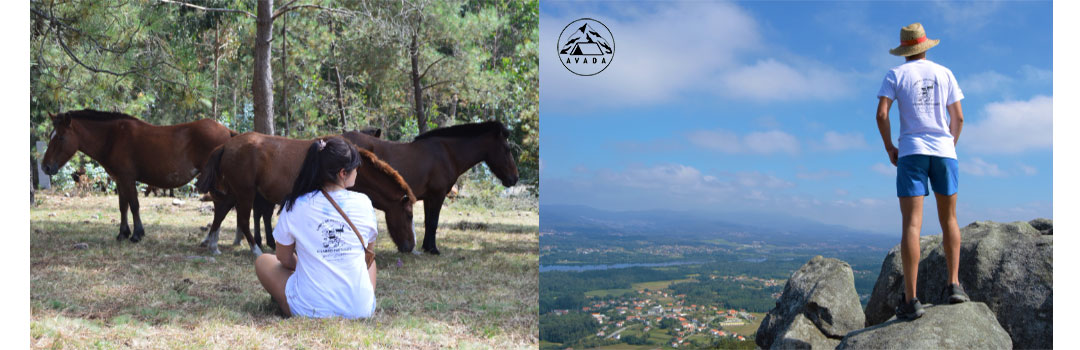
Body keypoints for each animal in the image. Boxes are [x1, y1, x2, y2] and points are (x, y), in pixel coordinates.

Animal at [43, 110, 236, 243]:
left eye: (60, 137)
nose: (45, 166)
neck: (112, 137)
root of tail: (227, 131)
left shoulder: (128, 179)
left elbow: (134, 205)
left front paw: (137, 234)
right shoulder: (119, 180)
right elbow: (123, 206)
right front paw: (123, 233)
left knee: (222, 205)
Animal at [194, 132, 416, 256]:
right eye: (409, 215)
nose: (411, 247)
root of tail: (226, 145)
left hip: (236, 192)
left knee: (221, 212)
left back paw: (213, 245)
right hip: (245, 193)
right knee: (241, 220)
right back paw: (255, 250)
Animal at [341, 120, 518, 253]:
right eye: (507, 149)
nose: (514, 178)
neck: (447, 153)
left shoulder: (428, 198)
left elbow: (428, 221)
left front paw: (427, 247)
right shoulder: (438, 195)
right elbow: (433, 222)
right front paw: (433, 249)